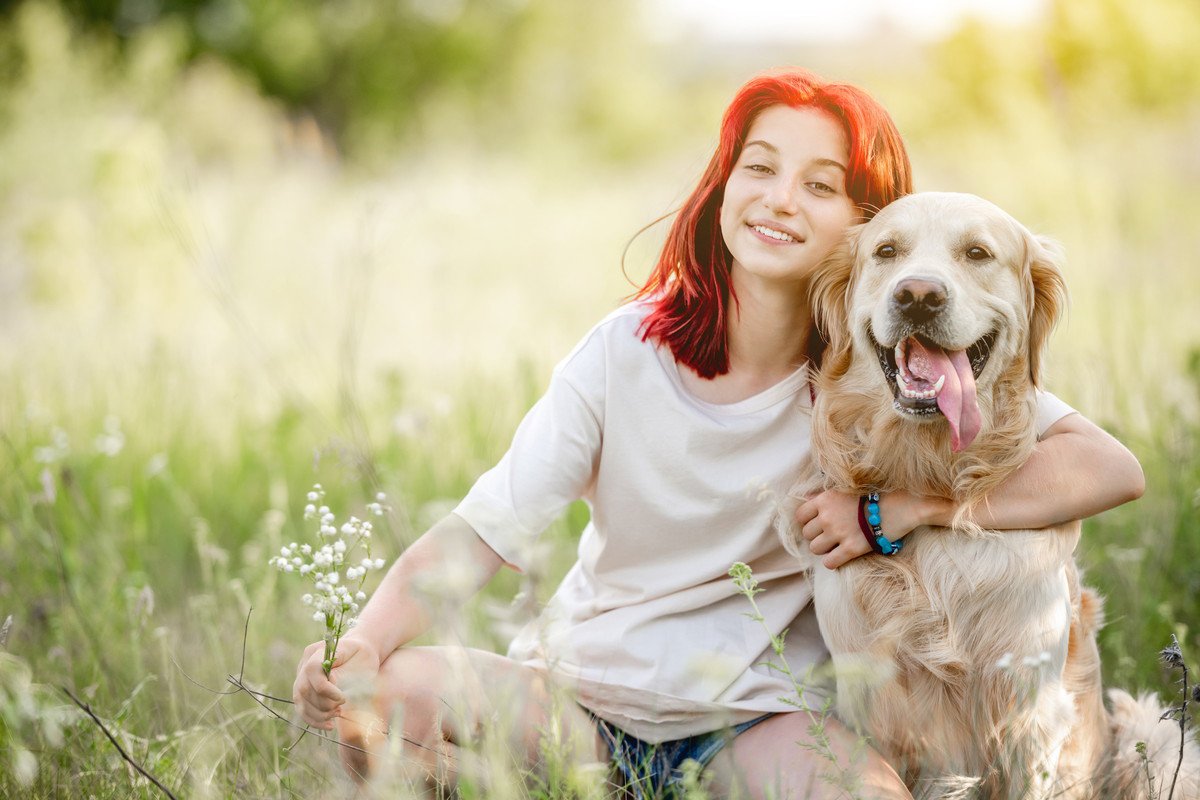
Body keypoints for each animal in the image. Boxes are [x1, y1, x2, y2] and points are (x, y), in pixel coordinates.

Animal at [782, 194, 1195, 800]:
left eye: (977, 253)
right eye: (887, 251)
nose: (918, 295)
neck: (928, 471)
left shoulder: (1030, 714)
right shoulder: (869, 707)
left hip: (1157, 741)